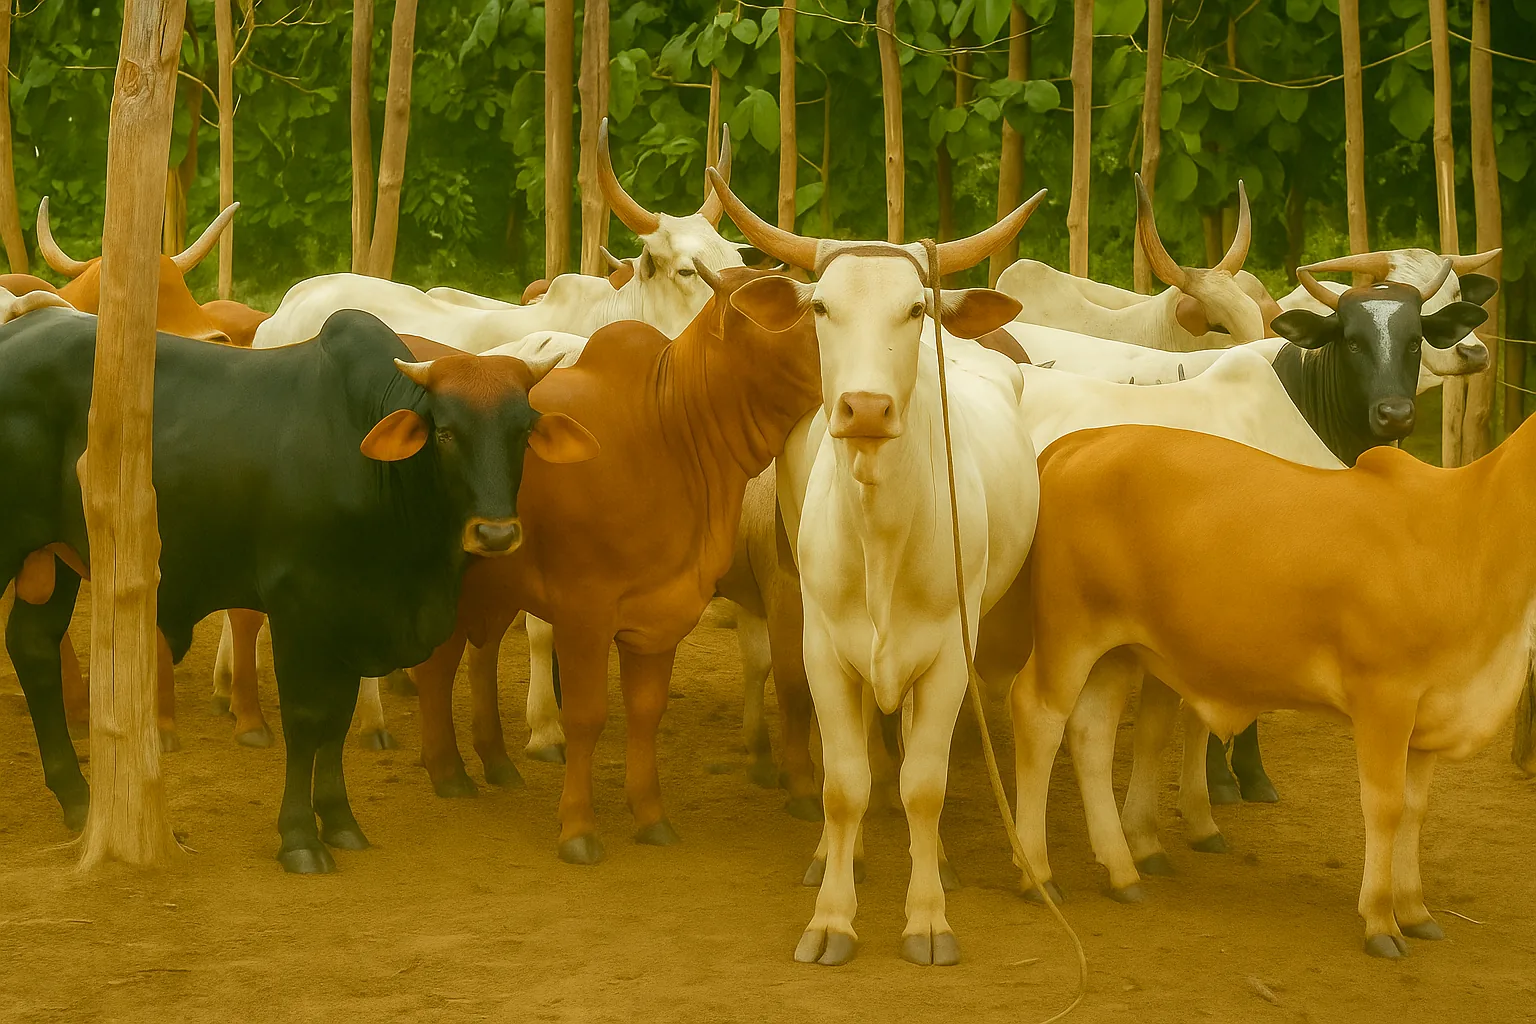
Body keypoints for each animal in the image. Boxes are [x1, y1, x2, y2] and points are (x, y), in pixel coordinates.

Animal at [0, 306, 597, 871]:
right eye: (446, 432)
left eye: (521, 433)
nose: (495, 534)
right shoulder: (299, 609)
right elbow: (308, 720)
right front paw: (299, 840)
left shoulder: (353, 617)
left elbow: (337, 720)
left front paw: (340, 821)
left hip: (54, 558)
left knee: (33, 648)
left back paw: (77, 799)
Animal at [707, 167, 1043, 966]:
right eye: (822, 305)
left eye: (915, 307)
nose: (864, 407)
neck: (883, 536)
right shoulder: (823, 648)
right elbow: (844, 784)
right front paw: (832, 913)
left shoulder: (951, 654)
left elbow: (923, 785)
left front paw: (927, 918)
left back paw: (939, 861)